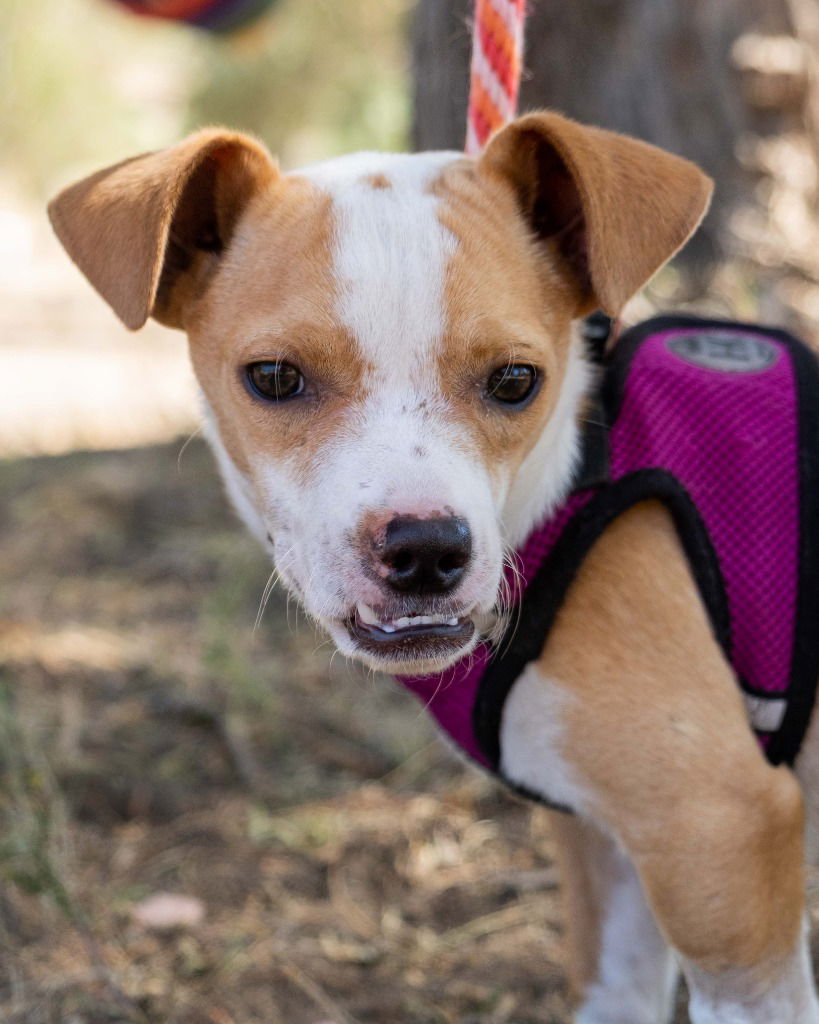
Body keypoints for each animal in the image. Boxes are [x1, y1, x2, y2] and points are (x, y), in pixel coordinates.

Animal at [46, 108, 819, 1019]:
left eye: (516, 380)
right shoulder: (608, 847)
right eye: (273, 377)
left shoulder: (717, 833)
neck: (569, 486)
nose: (424, 549)